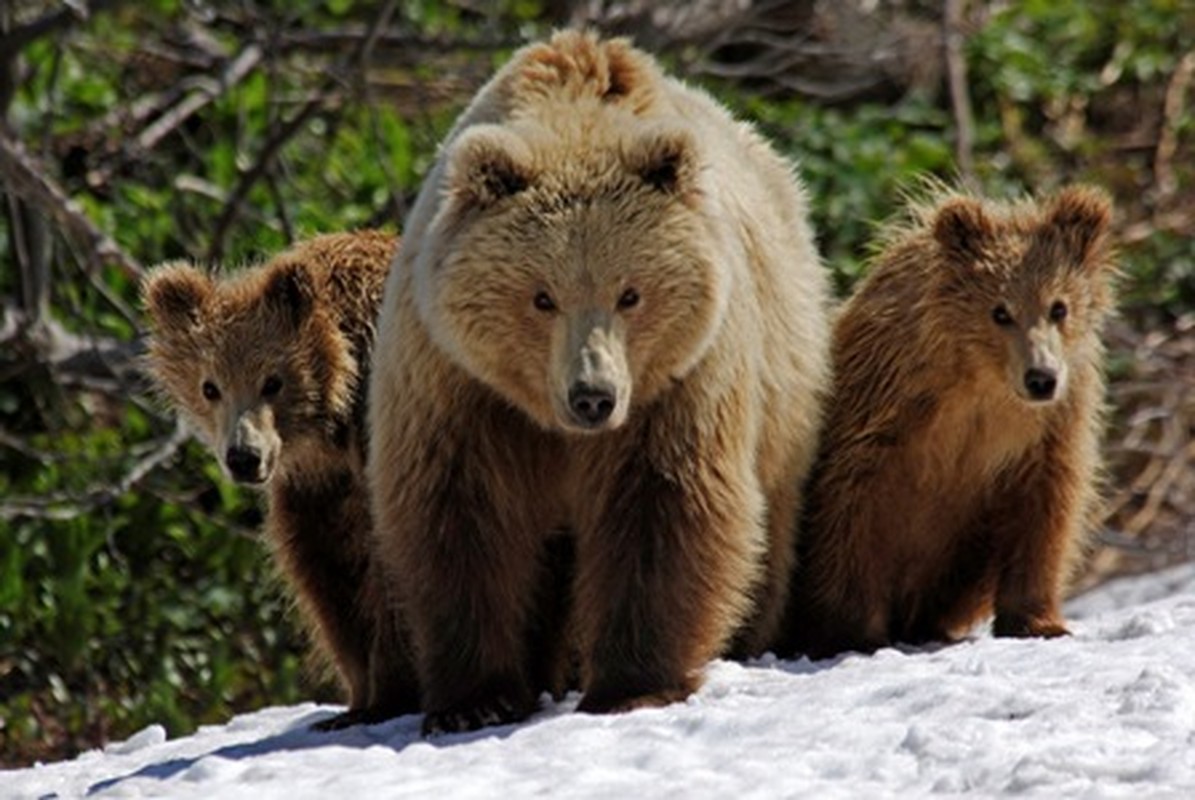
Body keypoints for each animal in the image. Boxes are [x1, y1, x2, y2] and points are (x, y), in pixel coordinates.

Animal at [139, 227, 418, 727]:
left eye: (273, 381)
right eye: (210, 387)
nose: (243, 457)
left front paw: (389, 696)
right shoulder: (316, 491)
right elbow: (326, 577)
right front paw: (356, 698)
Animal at [365, 31, 831, 731]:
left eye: (630, 293)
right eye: (541, 297)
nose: (592, 396)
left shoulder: (679, 382)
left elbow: (662, 504)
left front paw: (633, 684)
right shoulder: (458, 383)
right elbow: (461, 514)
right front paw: (475, 699)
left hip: (784, 384)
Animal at [783, 184, 1118, 660]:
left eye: (1059, 307)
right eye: (1000, 311)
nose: (1041, 378)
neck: (981, 383)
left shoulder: (1049, 429)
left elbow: (1045, 511)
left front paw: (1039, 622)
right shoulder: (886, 410)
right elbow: (852, 510)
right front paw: (853, 632)